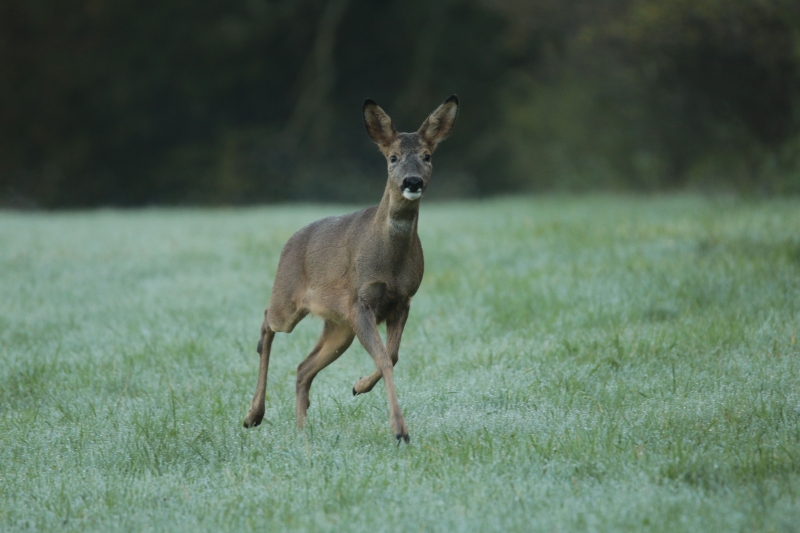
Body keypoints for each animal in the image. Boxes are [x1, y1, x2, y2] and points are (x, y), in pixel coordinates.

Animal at [241, 94, 460, 440]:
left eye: (427, 156)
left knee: (303, 367)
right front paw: (399, 429)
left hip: (338, 325)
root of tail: (290, 241)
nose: (412, 181)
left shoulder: (403, 299)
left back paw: (301, 430)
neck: (389, 262)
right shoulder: (360, 300)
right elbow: (384, 357)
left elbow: (393, 355)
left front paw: (359, 386)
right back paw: (253, 415)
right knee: (266, 324)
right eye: (393, 157)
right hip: (287, 299)